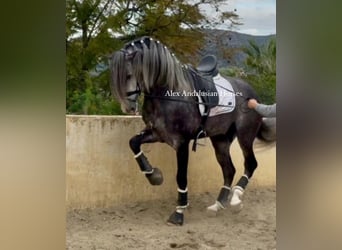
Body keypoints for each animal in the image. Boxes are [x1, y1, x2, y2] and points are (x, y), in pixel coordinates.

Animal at [109, 36, 276, 226]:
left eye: (129, 75)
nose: (128, 108)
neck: (168, 93)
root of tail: (252, 96)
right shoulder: (157, 134)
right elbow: (133, 143)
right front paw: (153, 176)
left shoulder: (181, 143)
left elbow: (181, 176)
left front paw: (179, 211)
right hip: (220, 139)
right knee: (229, 170)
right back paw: (217, 205)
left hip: (245, 136)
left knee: (250, 164)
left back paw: (235, 199)